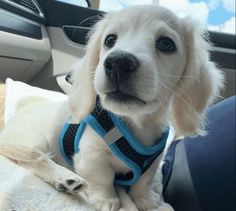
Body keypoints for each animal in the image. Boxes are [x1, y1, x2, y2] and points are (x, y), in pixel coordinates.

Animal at [0, 4, 223, 211]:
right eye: (109, 40)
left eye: (166, 44)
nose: (118, 62)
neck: (136, 123)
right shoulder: (91, 155)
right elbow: (103, 178)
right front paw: (105, 200)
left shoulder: (153, 161)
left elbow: (143, 181)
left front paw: (145, 199)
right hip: (32, 140)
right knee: (34, 160)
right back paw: (66, 178)